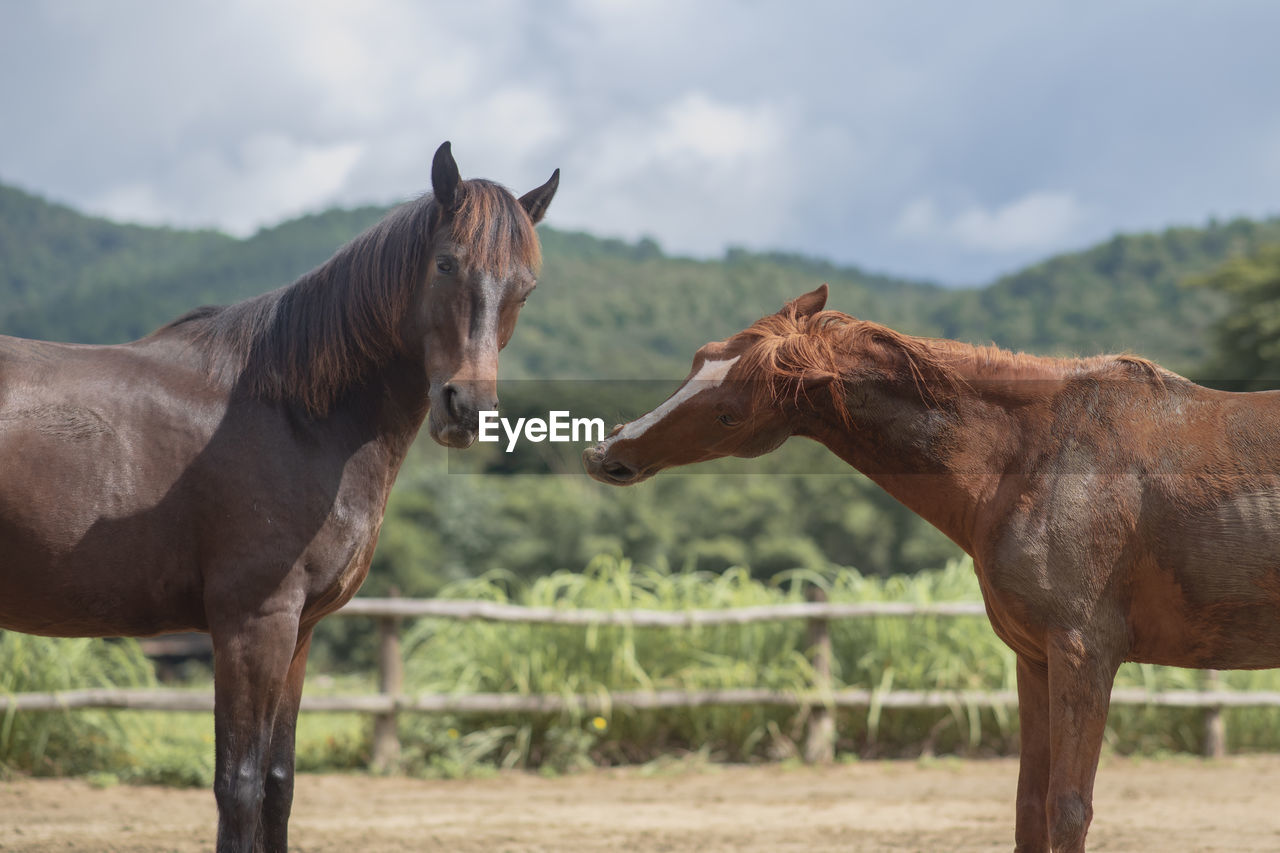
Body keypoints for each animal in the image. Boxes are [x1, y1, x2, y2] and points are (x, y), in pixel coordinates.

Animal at [1, 142, 560, 850]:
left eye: (525, 287)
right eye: (445, 263)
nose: (469, 410)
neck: (294, 413)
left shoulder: (299, 631)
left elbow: (277, 784)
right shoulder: (252, 624)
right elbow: (237, 786)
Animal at [586, 284, 1280, 850]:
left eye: (729, 410)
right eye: (699, 358)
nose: (605, 453)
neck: (1041, 457)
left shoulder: (1084, 654)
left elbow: (1067, 810)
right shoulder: (1035, 658)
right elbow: (1030, 808)